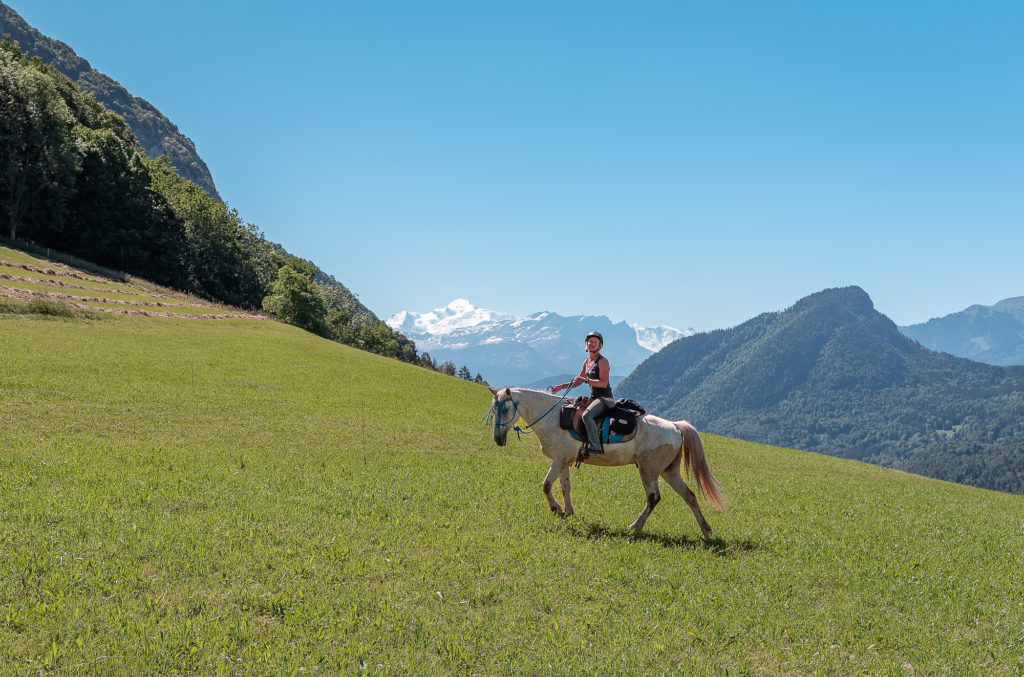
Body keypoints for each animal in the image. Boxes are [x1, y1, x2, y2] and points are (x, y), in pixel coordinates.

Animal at [489, 387, 724, 536]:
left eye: (506, 409)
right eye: (493, 410)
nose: (498, 439)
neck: (553, 418)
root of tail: (675, 426)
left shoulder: (558, 459)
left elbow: (546, 485)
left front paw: (556, 509)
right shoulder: (564, 460)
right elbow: (565, 487)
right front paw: (568, 512)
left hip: (649, 470)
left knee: (653, 498)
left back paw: (635, 527)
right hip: (669, 471)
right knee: (690, 496)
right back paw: (706, 531)